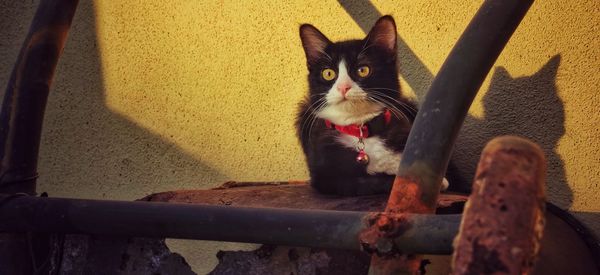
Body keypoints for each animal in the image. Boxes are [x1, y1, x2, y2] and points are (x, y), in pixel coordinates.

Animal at [298, 15, 448, 196]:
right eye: (328, 73)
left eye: (363, 70)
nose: (343, 87)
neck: (361, 131)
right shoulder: (326, 177)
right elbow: (367, 181)